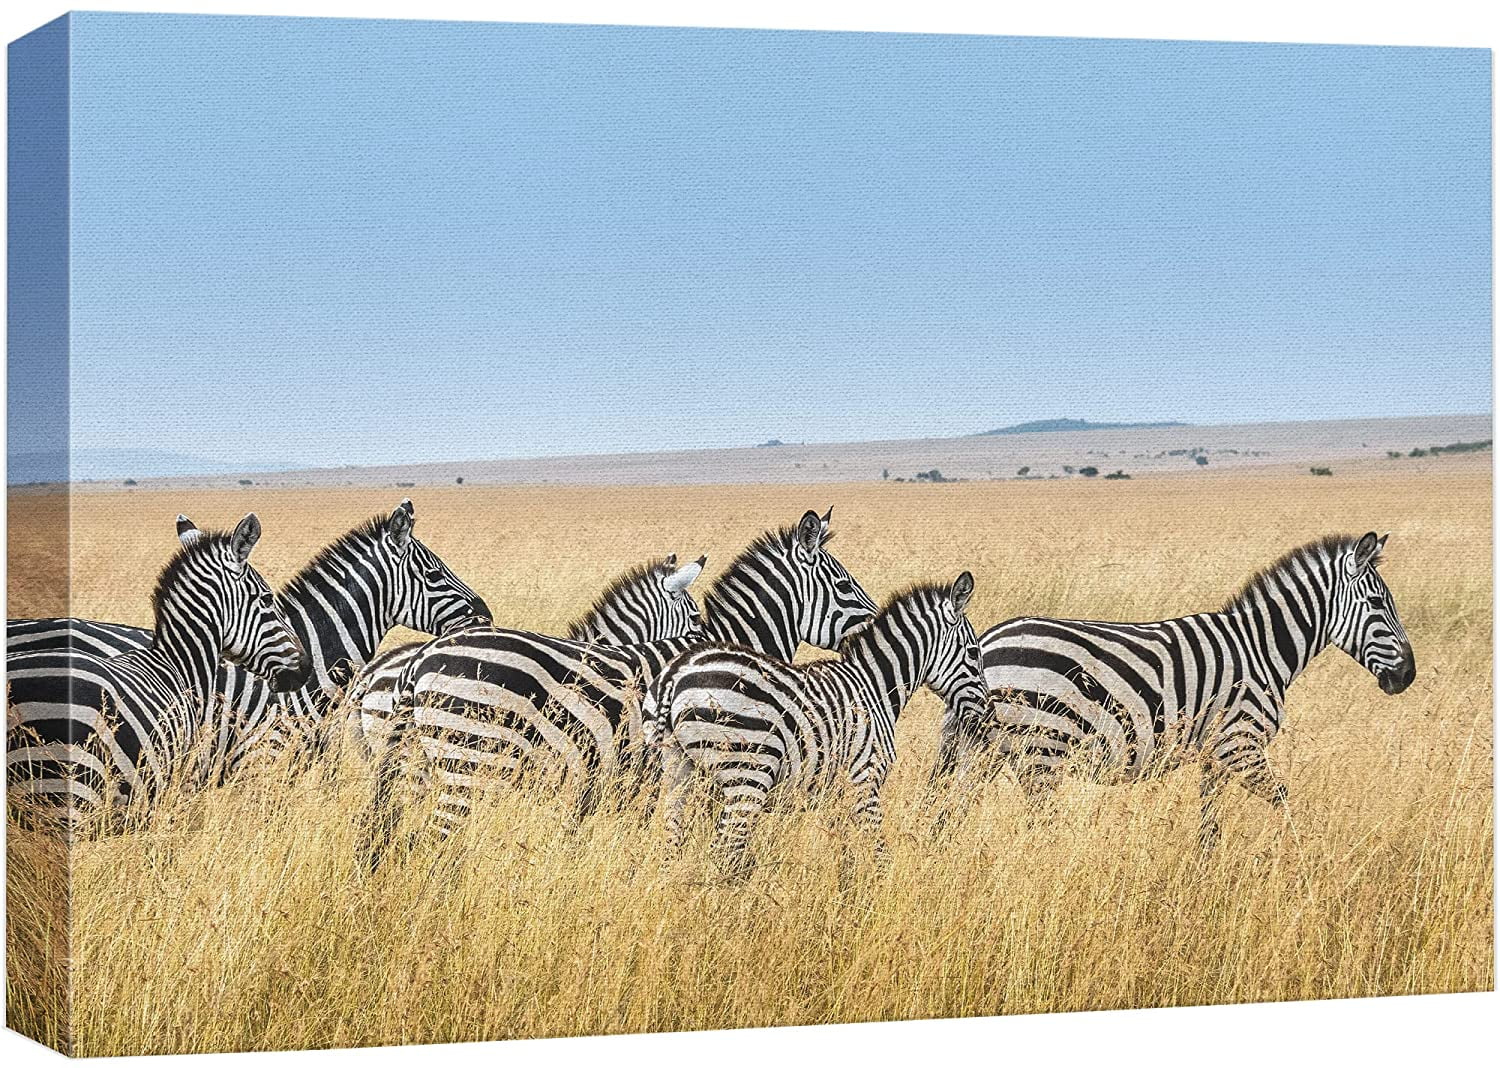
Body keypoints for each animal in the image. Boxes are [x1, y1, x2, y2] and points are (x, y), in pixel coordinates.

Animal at [648, 572, 981, 877]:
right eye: (974, 652)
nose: (984, 713)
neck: (875, 686)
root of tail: (675, 674)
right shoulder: (866, 778)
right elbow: (877, 850)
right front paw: (880, 889)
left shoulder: (837, 791)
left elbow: (846, 851)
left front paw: (847, 891)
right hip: (748, 774)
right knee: (724, 851)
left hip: (679, 769)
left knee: (672, 845)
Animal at [950, 532, 1415, 851]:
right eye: (1378, 604)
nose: (1407, 675)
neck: (1261, 648)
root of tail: (986, 641)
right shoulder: (1240, 743)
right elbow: (1285, 802)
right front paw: (1303, 859)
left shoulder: (1215, 753)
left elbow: (1210, 821)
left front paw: (1203, 871)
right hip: (1043, 750)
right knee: (1034, 823)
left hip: (987, 750)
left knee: (950, 809)